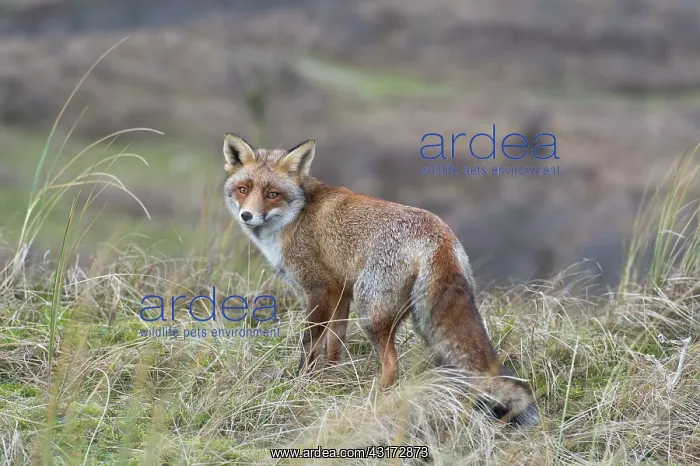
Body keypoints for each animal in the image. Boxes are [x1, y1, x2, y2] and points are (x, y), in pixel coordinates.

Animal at [221, 133, 540, 427]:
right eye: (243, 189)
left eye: (272, 194)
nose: (247, 215)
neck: (297, 214)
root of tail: (440, 235)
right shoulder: (340, 292)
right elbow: (334, 345)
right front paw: (330, 382)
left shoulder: (319, 290)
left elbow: (310, 346)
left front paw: (301, 384)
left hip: (371, 314)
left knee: (392, 366)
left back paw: (374, 405)